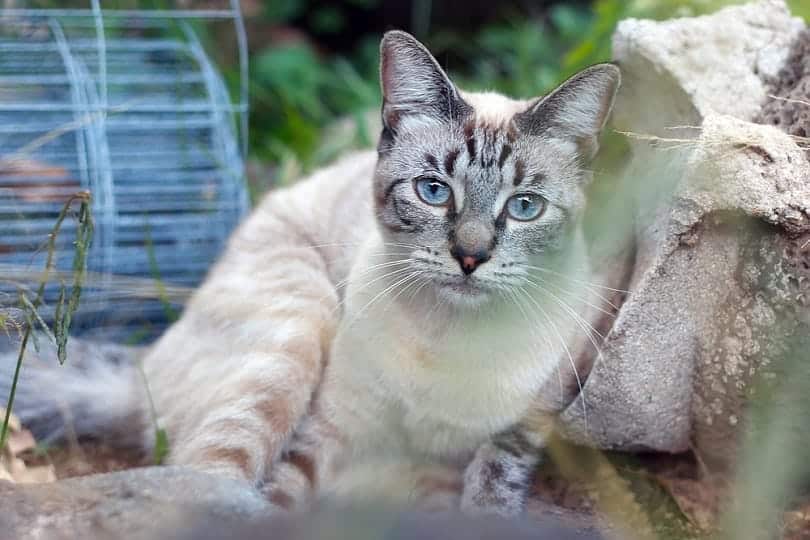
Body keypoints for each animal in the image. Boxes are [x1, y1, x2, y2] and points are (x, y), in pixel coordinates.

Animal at [1, 28, 620, 516]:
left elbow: (494, 478)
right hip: (296, 331)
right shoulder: (323, 436)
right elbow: (274, 496)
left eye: (524, 207)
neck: (448, 343)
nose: (471, 257)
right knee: (203, 478)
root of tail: (145, 363)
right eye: (434, 191)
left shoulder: (498, 437)